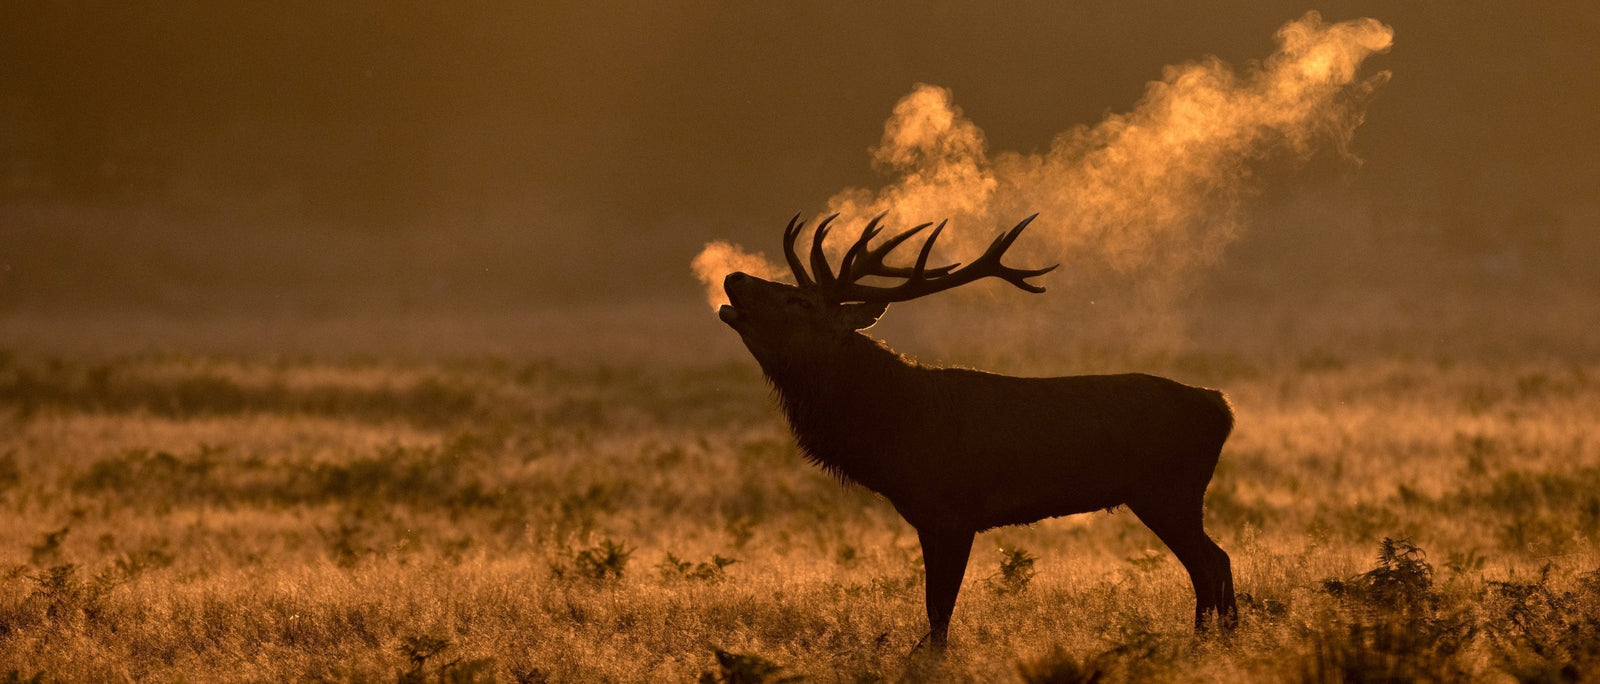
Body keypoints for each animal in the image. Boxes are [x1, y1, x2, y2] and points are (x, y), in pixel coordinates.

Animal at [716, 212, 1238, 650]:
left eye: (799, 300)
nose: (734, 276)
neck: (891, 429)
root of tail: (1222, 405)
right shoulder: (929, 518)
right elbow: (934, 607)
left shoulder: (952, 511)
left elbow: (939, 610)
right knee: (1217, 560)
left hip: (1169, 490)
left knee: (1210, 563)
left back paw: (1204, 645)